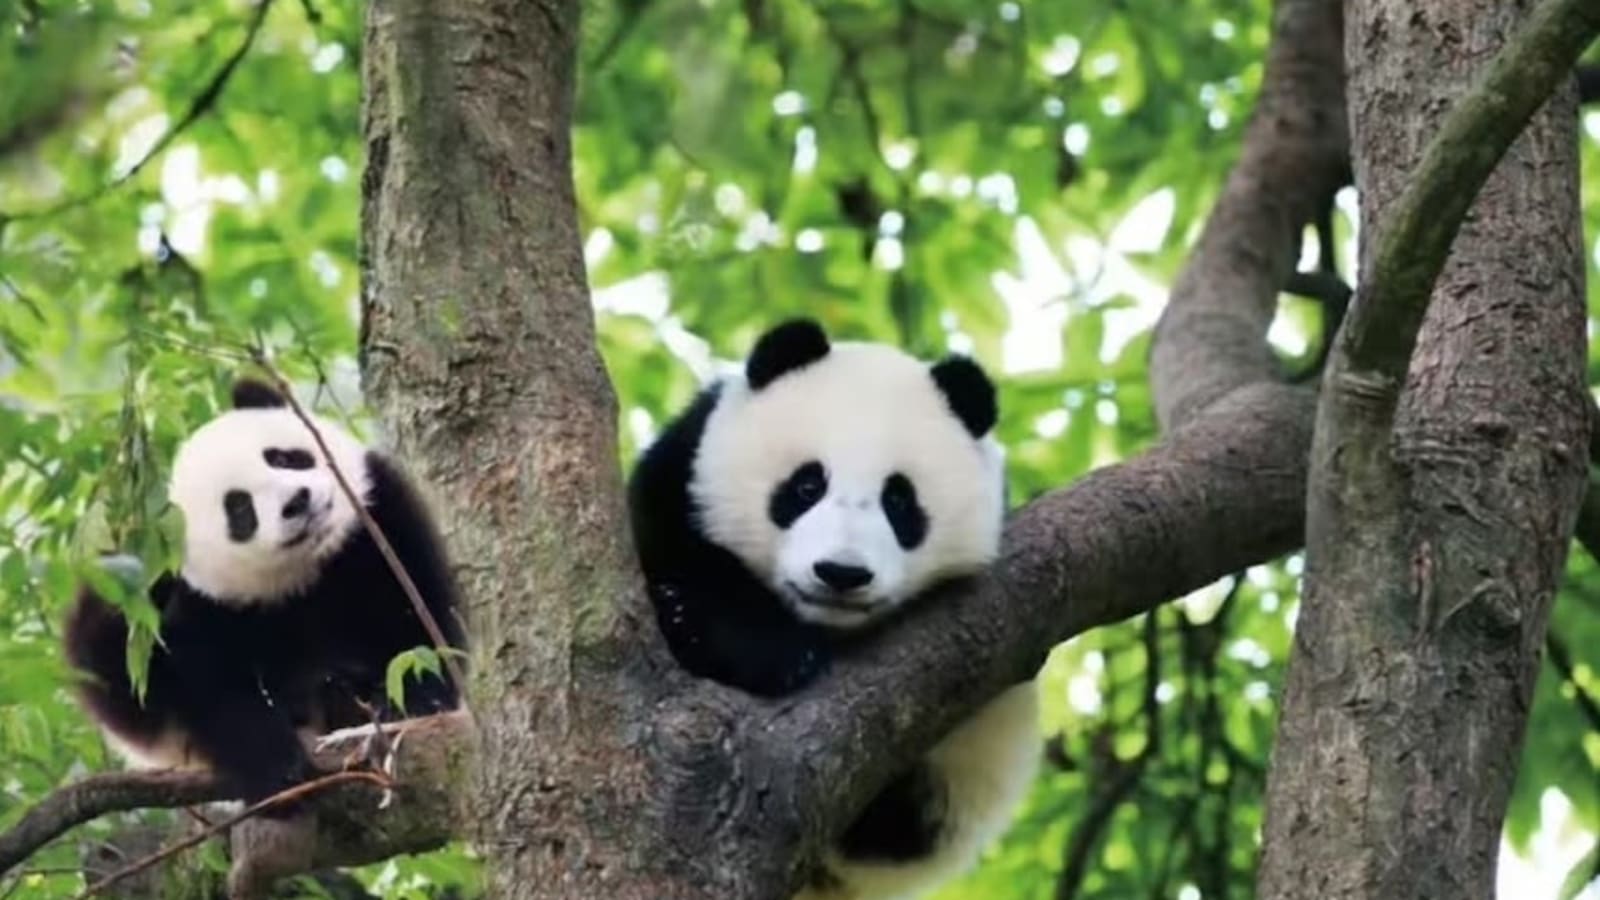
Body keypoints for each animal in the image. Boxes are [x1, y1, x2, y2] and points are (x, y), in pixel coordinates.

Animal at [63, 377, 467, 814]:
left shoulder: (377, 525)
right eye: (240, 509)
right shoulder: (199, 608)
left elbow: (416, 613)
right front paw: (278, 769)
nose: (297, 501)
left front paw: (418, 698)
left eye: (283, 458)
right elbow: (211, 691)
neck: (306, 571)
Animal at [628, 318, 1040, 899]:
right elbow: (670, 540)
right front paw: (741, 638)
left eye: (899, 502)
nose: (841, 573)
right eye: (806, 485)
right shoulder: (683, 470)